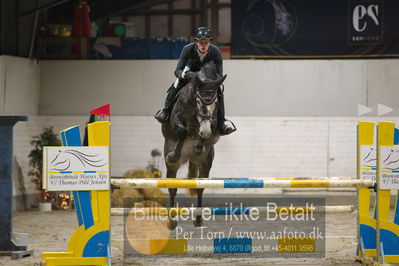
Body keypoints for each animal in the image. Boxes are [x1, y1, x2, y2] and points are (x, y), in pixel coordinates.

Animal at [161, 61, 227, 228]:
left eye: (215, 102)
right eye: (198, 101)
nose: (204, 131)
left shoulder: (213, 123)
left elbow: (207, 133)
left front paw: (199, 145)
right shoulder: (176, 119)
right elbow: (182, 131)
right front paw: (174, 155)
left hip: (206, 163)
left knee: (200, 188)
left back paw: (198, 219)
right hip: (171, 165)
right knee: (172, 187)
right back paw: (172, 221)